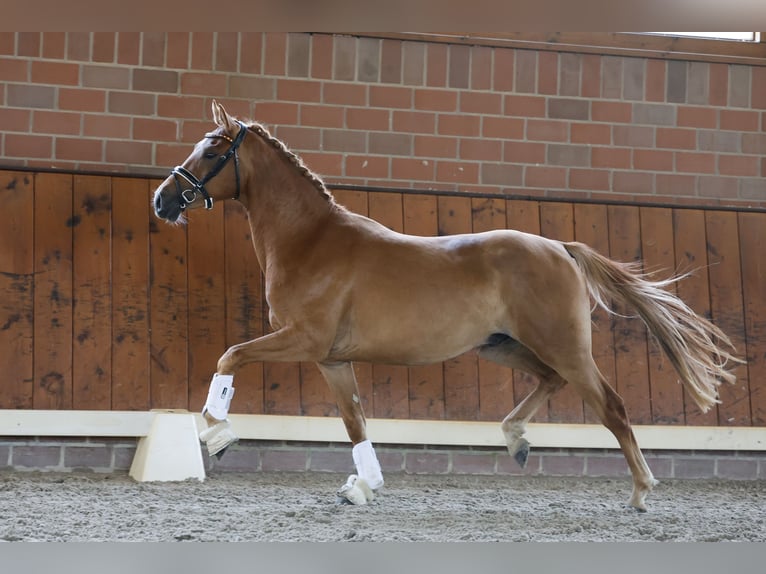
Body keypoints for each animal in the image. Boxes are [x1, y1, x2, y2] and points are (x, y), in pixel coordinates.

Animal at [153, 100, 741, 511]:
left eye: (212, 152)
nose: (162, 200)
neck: (310, 240)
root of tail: (559, 247)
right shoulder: (331, 359)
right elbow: (355, 422)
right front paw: (364, 485)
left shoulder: (303, 340)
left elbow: (230, 356)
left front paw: (216, 434)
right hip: (502, 346)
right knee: (549, 382)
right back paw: (517, 441)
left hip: (565, 347)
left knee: (611, 407)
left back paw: (641, 491)